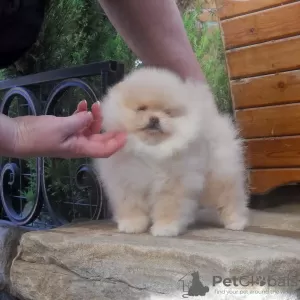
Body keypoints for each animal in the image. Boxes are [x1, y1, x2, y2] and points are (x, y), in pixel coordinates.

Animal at [94, 67, 248, 237]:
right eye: (141, 109)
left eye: (168, 112)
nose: (154, 118)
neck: (151, 149)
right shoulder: (126, 182)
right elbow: (131, 205)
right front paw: (132, 224)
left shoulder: (173, 183)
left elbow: (167, 207)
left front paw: (165, 228)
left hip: (218, 174)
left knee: (229, 197)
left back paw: (236, 221)